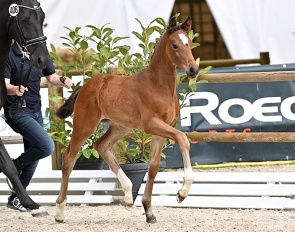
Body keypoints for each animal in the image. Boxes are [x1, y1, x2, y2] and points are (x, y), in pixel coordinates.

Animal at [55, 16, 199, 223]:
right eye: (175, 45)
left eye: (189, 43)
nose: (193, 70)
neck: (158, 86)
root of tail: (85, 86)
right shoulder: (151, 124)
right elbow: (182, 138)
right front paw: (182, 193)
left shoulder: (162, 128)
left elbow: (153, 167)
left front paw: (149, 212)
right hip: (85, 126)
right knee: (69, 158)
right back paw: (59, 212)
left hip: (120, 127)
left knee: (101, 146)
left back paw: (129, 197)